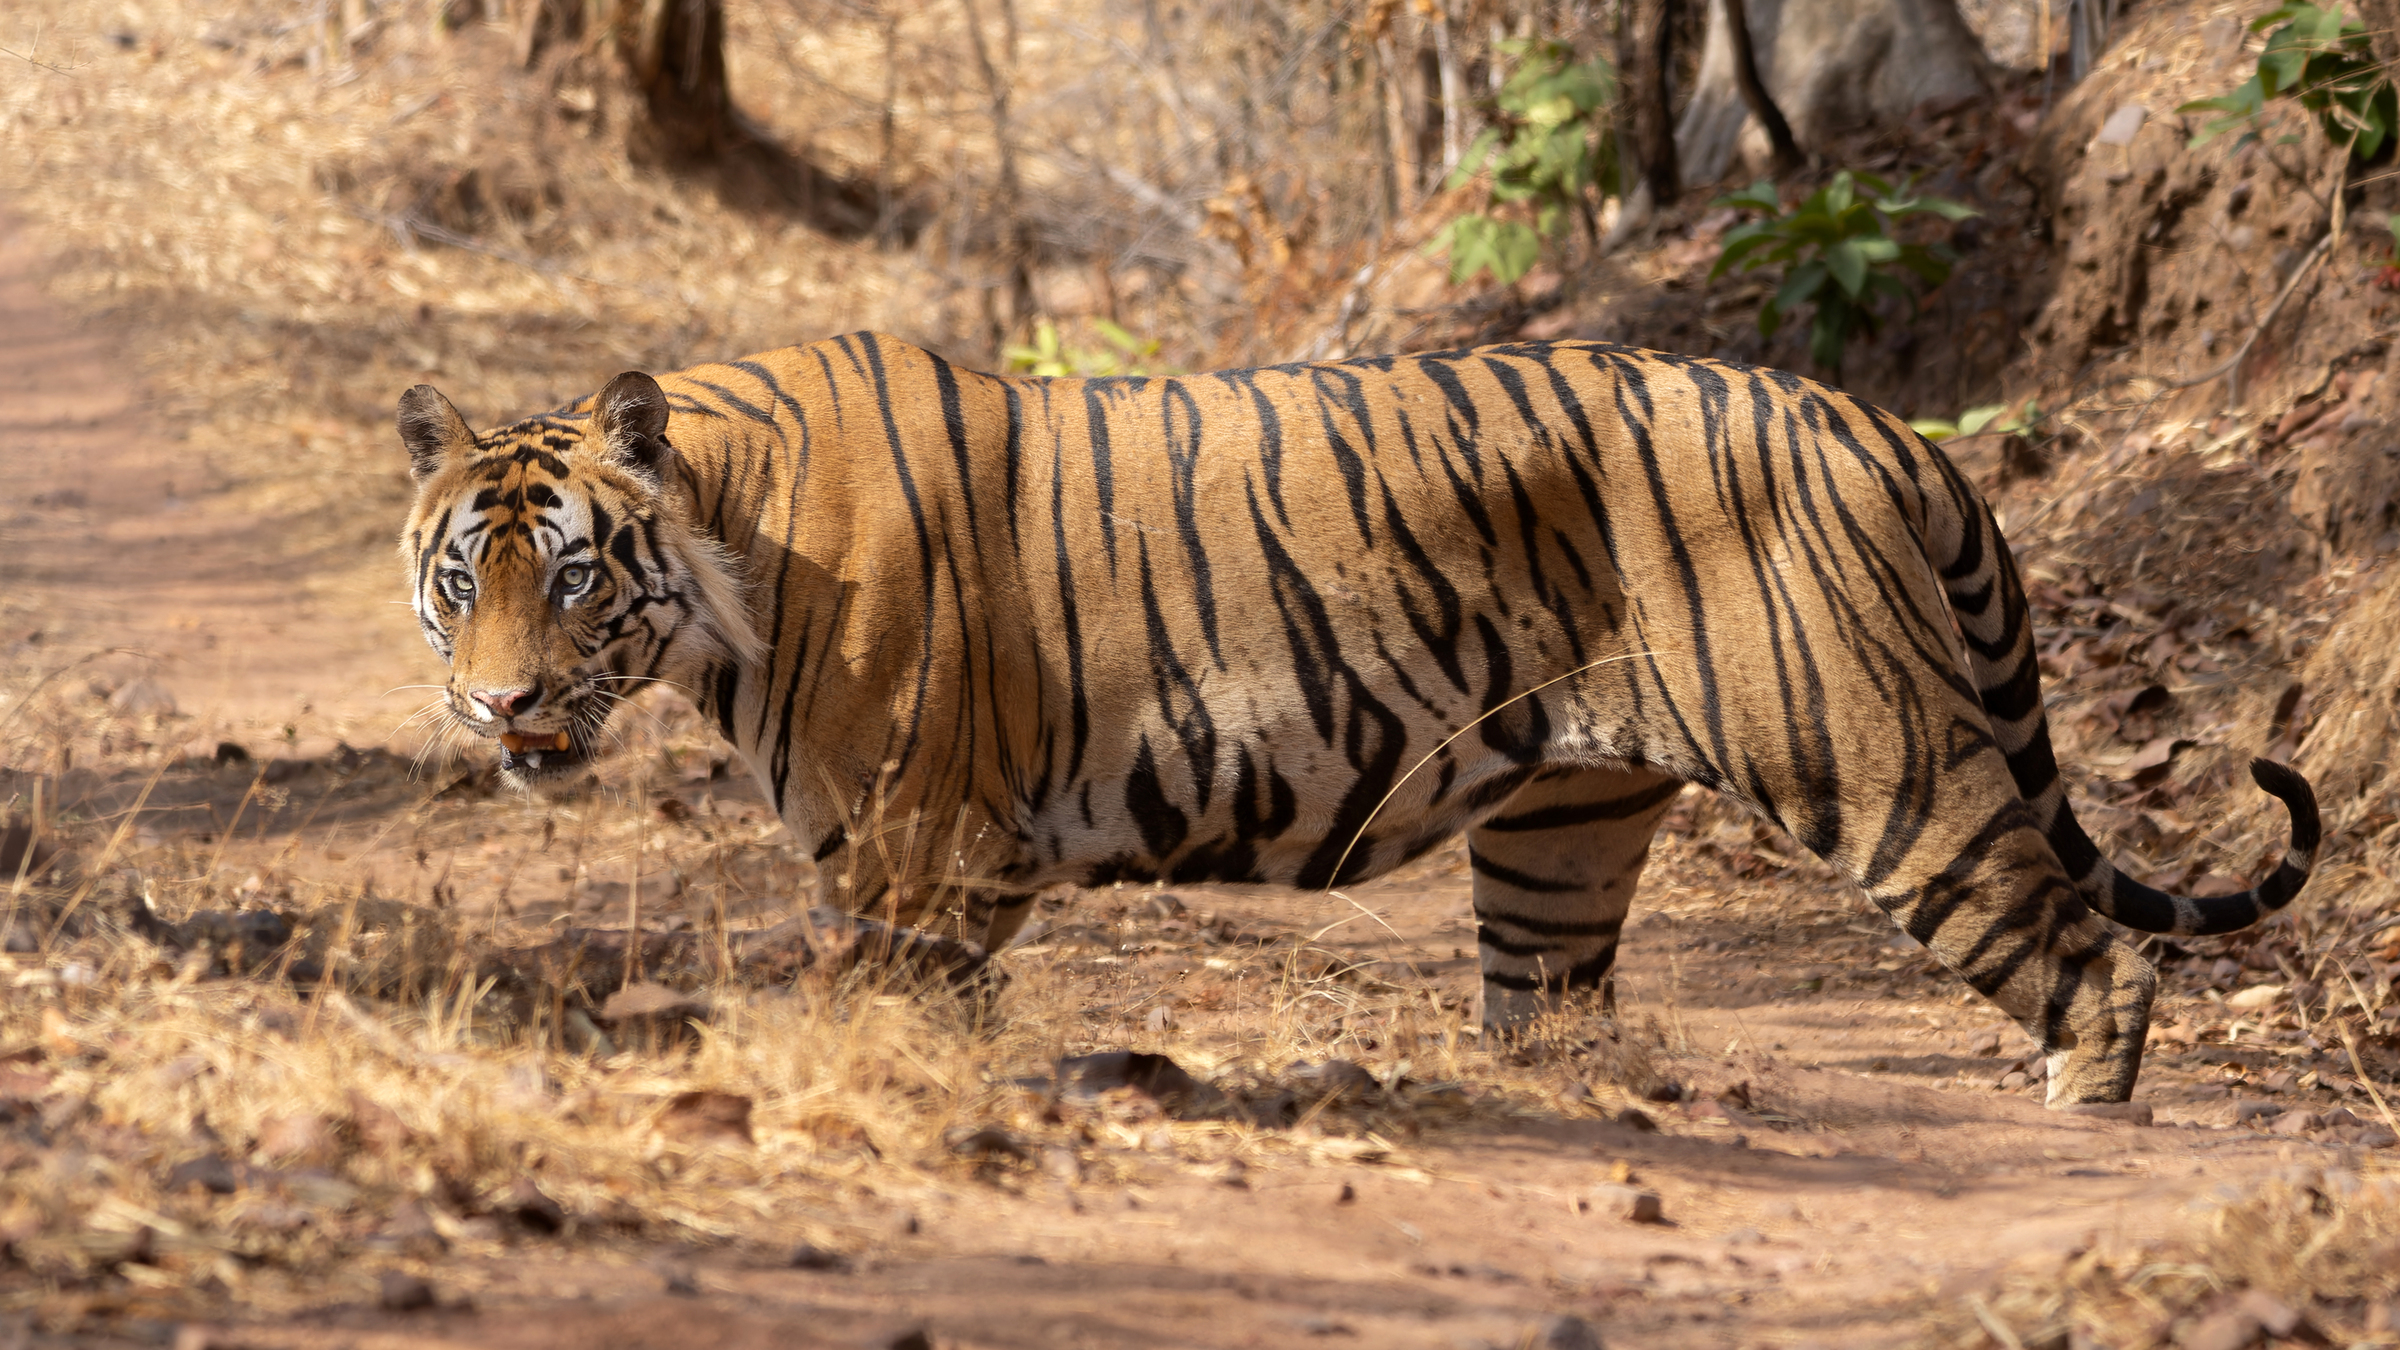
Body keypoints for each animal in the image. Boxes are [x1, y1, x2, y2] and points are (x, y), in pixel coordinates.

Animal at [395, 332, 2321, 1107]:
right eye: (461, 579)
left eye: (574, 579)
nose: (499, 703)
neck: (730, 540)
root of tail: (1875, 422)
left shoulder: (919, 853)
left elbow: (885, 1014)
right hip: (1560, 835)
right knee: (1548, 1011)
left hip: (1879, 765)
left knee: (2092, 963)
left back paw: (2085, 1122)